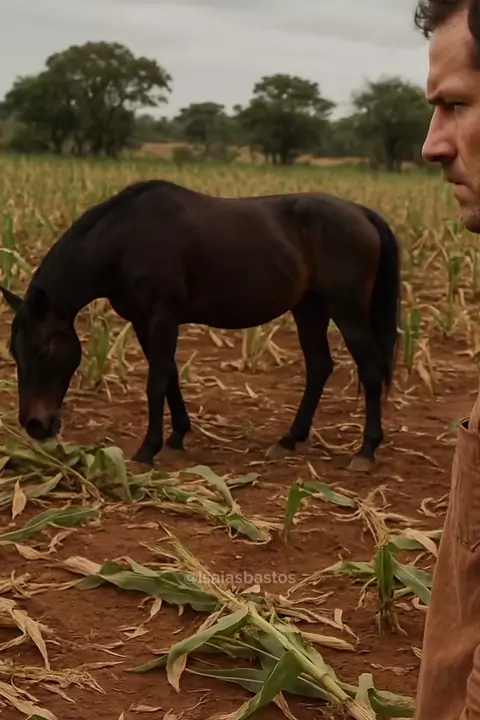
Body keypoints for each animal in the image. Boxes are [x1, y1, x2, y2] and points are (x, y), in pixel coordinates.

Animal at [0, 178, 401, 472]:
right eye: (14, 352)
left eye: (44, 347)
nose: (35, 425)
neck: (126, 240)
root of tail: (361, 212)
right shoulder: (144, 321)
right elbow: (170, 376)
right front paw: (177, 438)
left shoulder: (163, 316)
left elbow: (157, 381)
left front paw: (147, 451)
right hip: (309, 307)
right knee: (319, 366)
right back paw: (288, 440)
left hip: (347, 309)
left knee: (369, 369)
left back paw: (365, 452)